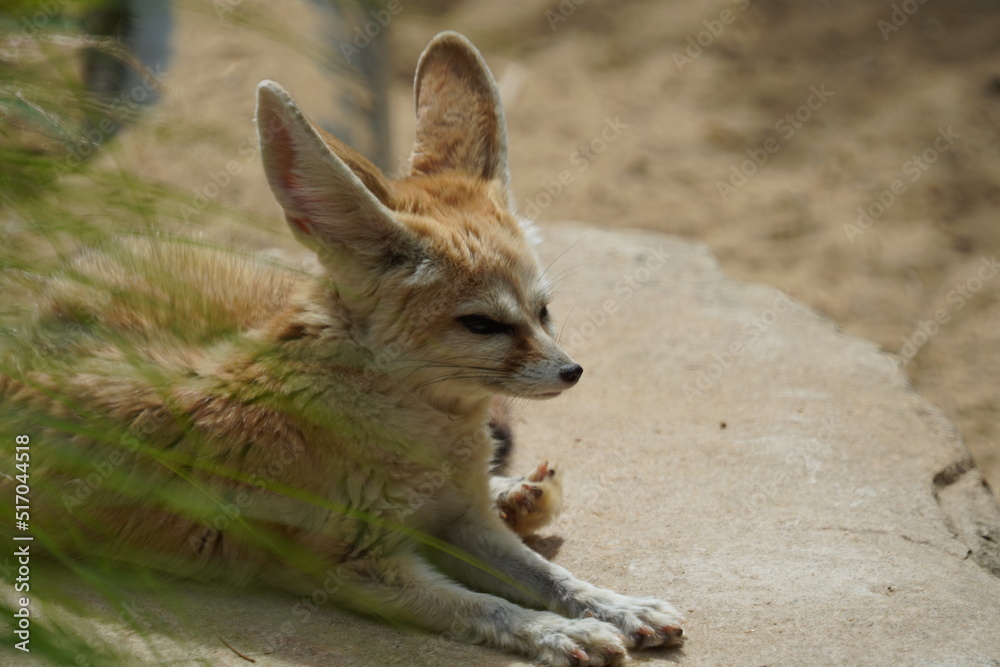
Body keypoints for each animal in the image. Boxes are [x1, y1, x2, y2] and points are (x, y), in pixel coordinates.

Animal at [0, 31, 684, 666]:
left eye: (543, 311)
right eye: (482, 324)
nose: (572, 371)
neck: (425, 442)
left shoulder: (462, 520)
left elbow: (551, 576)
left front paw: (617, 605)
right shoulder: (354, 566)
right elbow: (487, 607)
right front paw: (561, 632)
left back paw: (518, 492)